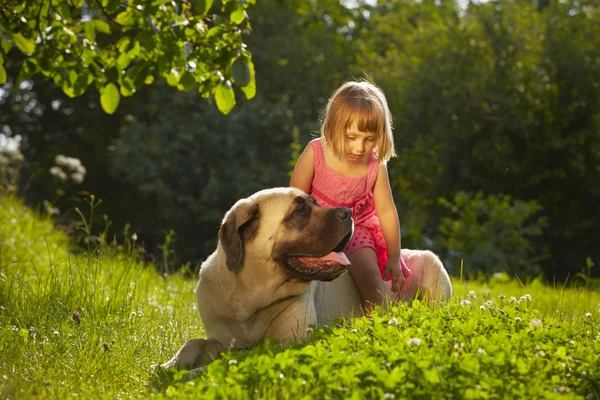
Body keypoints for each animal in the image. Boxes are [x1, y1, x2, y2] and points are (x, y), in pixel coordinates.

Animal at [159, 189, 450, 370]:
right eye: (299, 211)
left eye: (315, 204)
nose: (348, 212)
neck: (251, 294)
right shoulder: (220, 336)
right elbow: (194, 342)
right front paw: (169, 365)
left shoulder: (289, 341)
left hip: (431, 263)